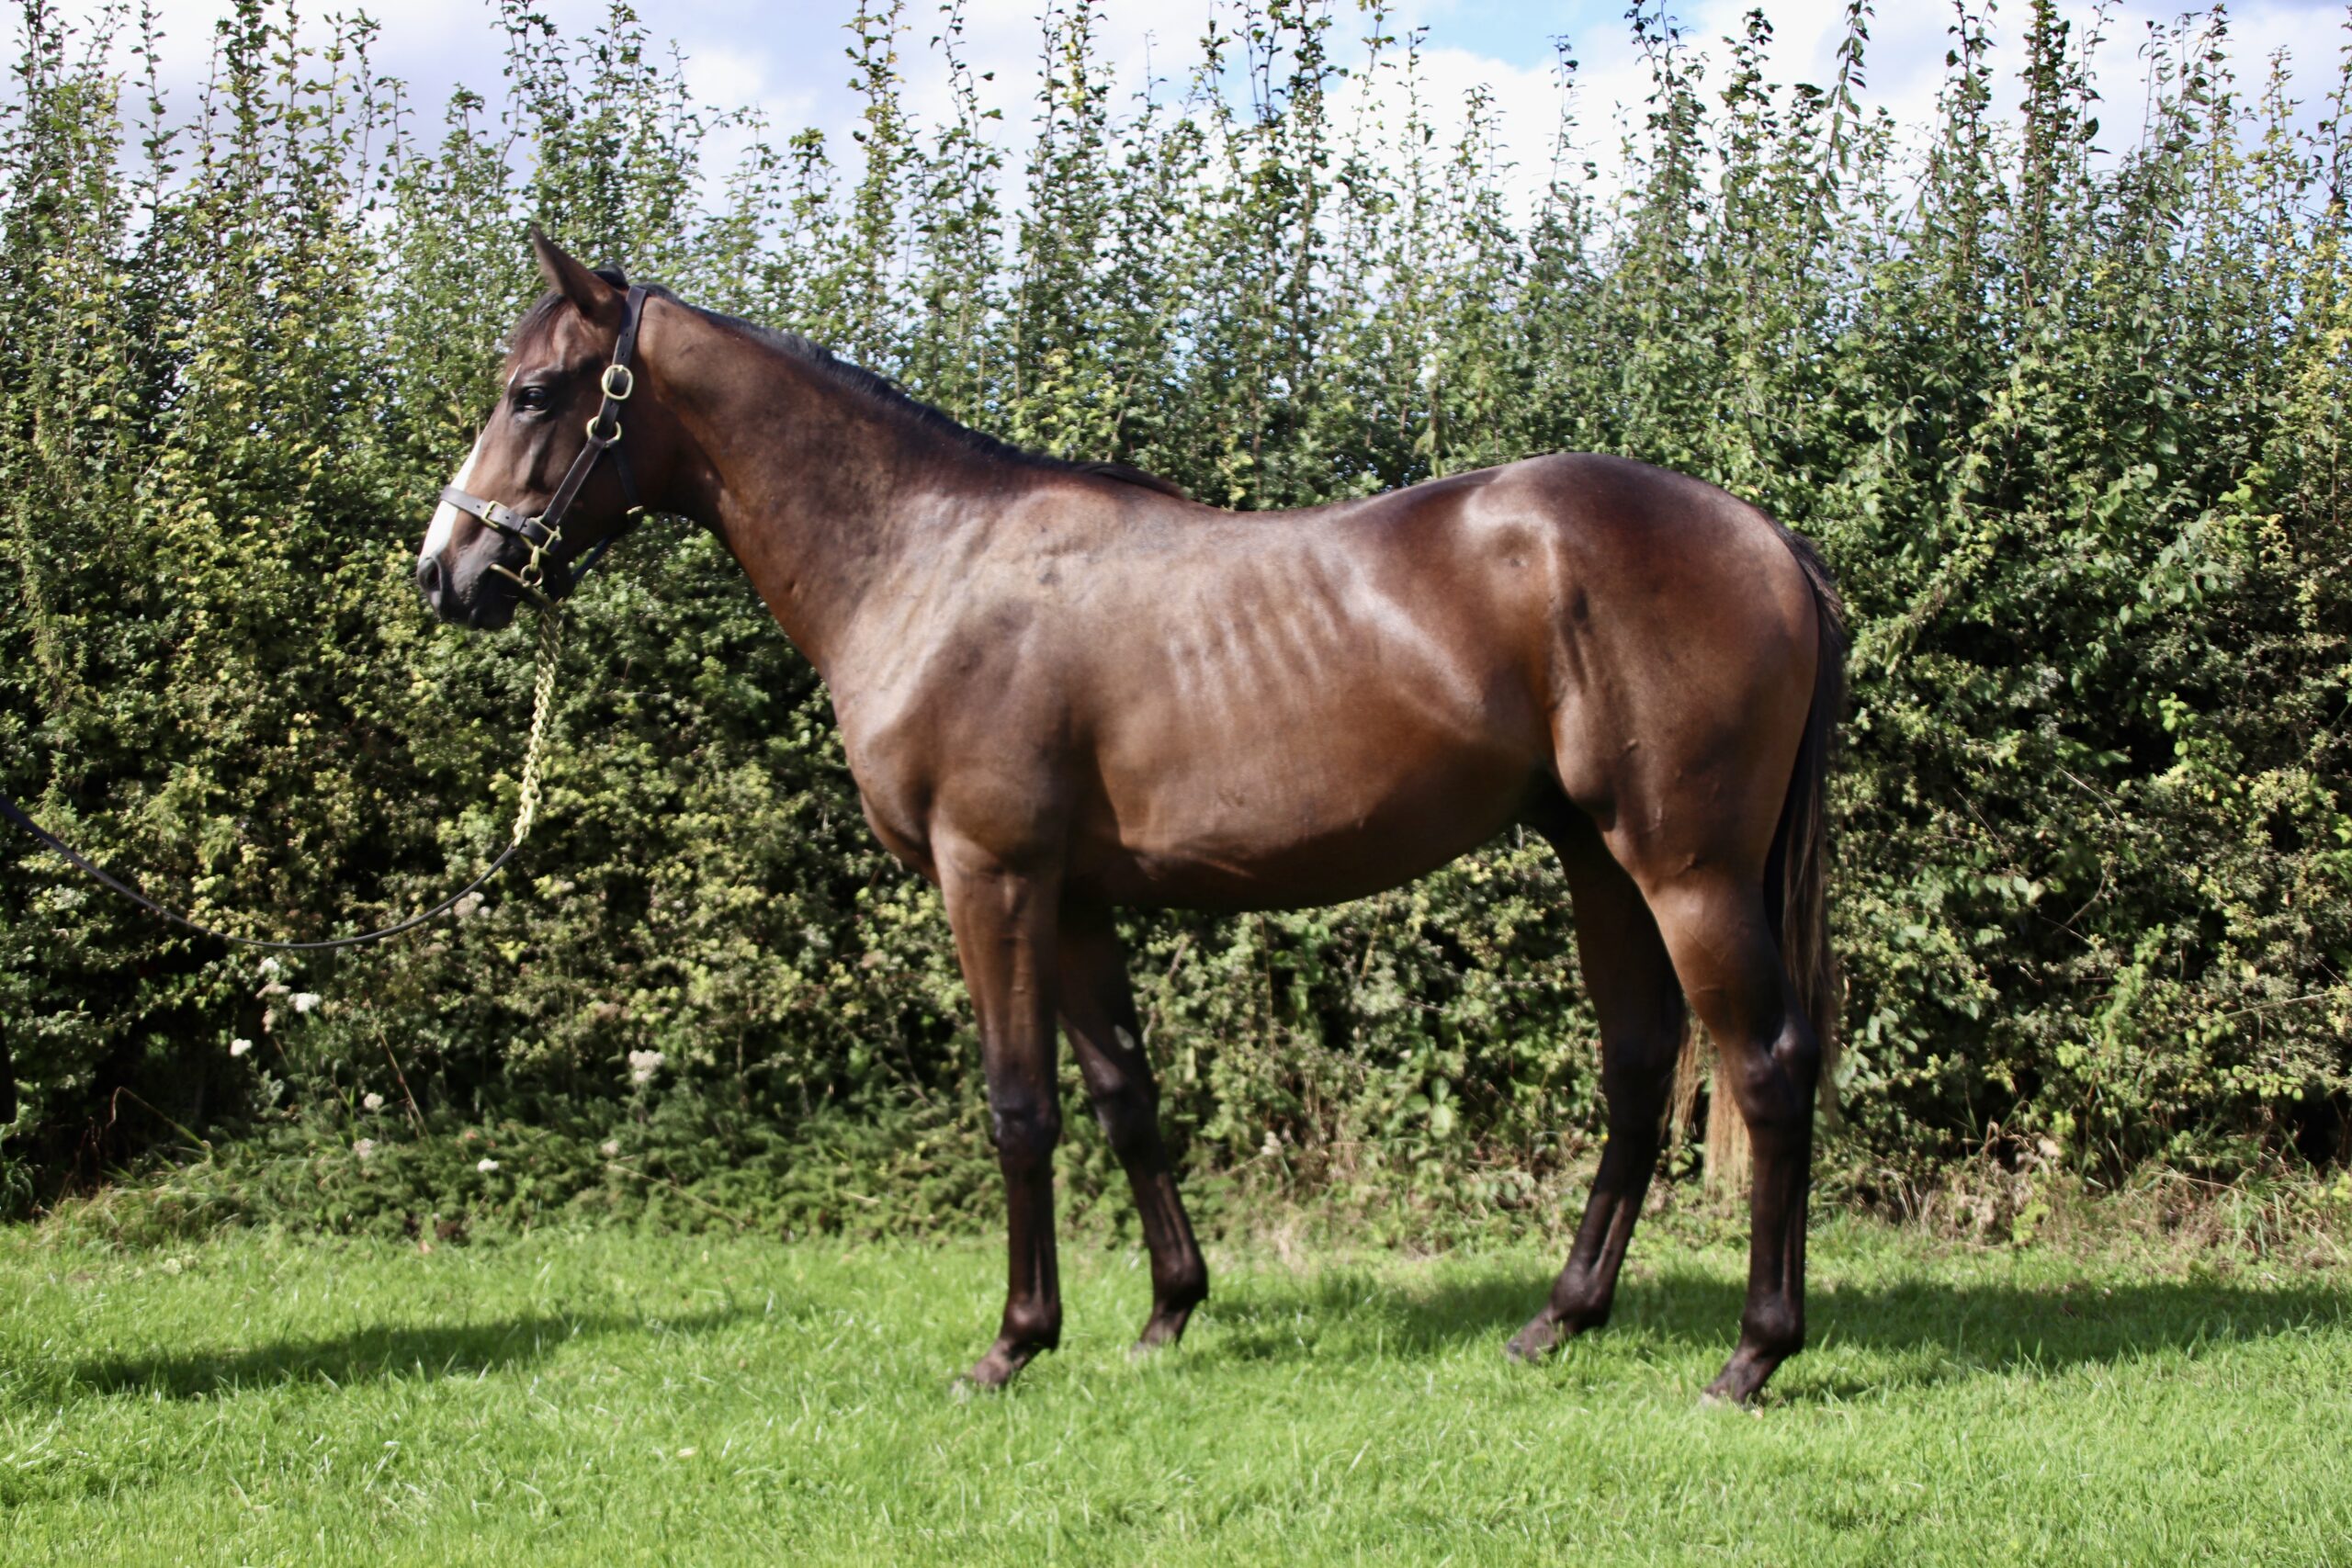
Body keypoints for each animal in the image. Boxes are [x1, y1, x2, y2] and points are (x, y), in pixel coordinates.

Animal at [416, 229, 1846, 1404]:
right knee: (1639, 1066)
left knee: (1766, 1067)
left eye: (535, 393)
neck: (928, 561)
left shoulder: (989, 875)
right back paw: (1560, 1320)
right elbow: (1123, 1094)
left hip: (1688, 868)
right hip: (1598, 857)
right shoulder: (1074, 897)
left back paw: (1752, 1354)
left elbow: (1020, 1106)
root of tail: (1772, 543)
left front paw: (1012, 1342)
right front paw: (1167, 1314)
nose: (447, 571)